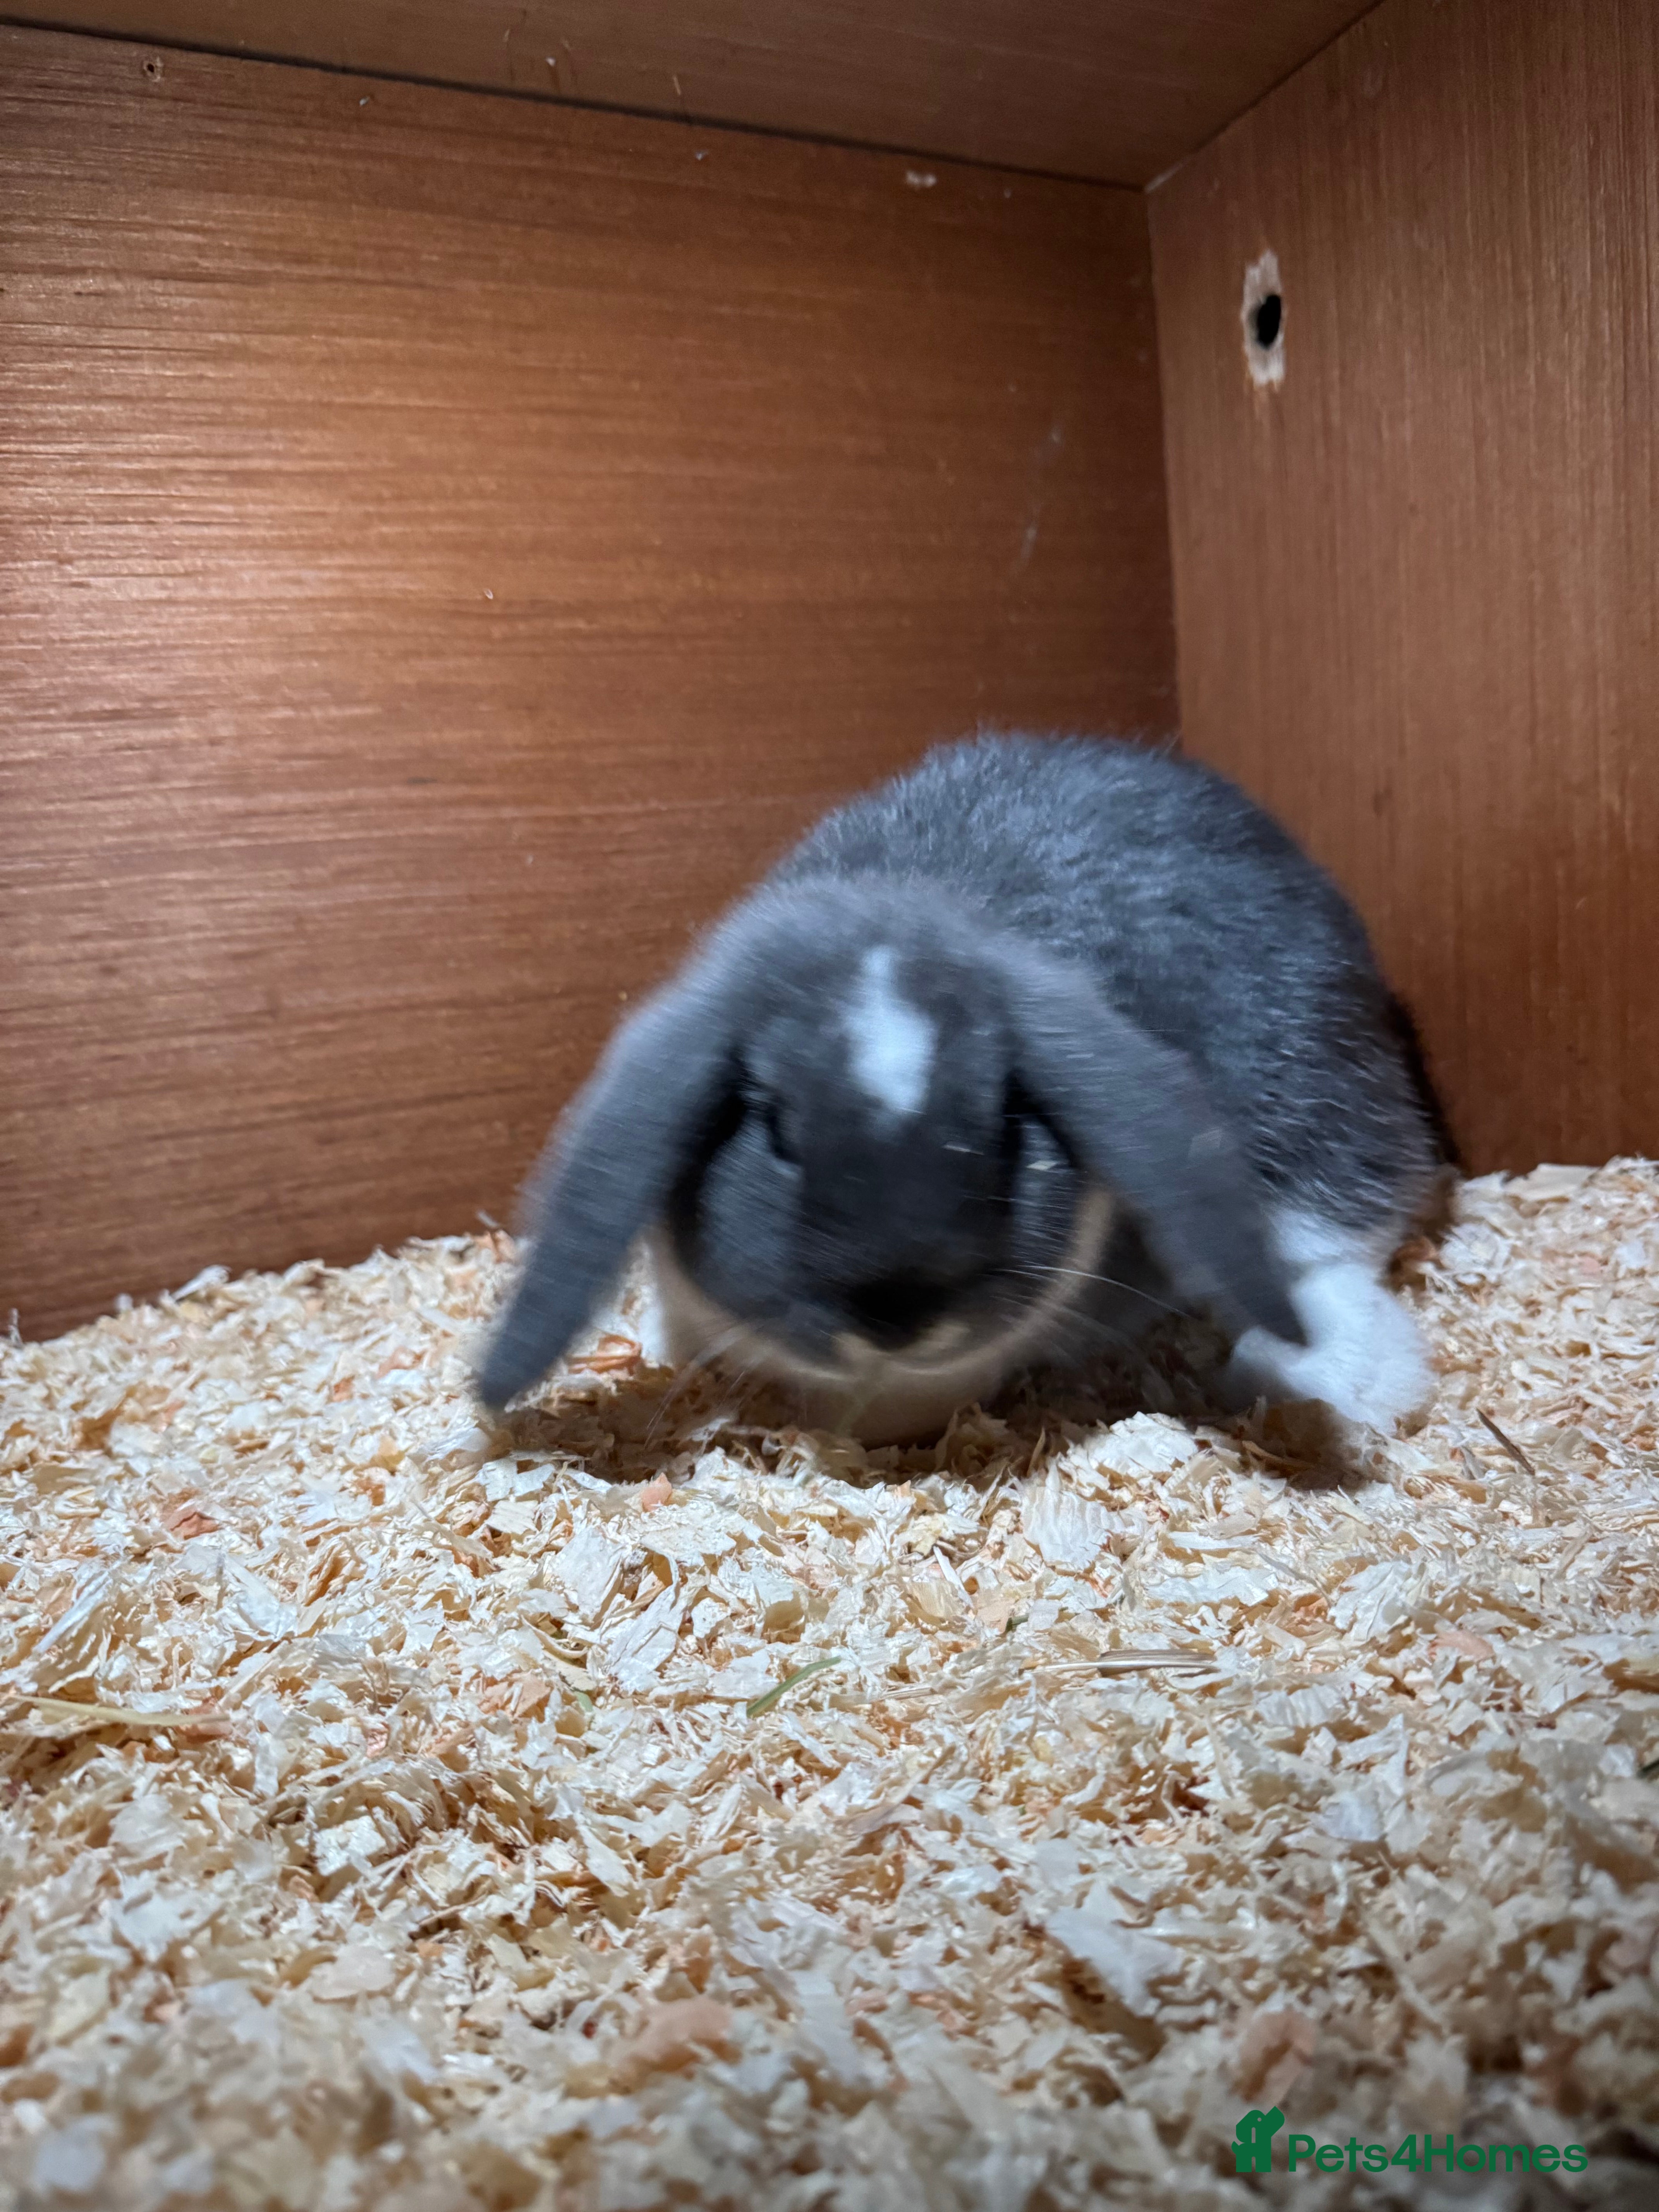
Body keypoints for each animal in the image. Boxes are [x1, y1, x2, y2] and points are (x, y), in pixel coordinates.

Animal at [476, 735, 1449, 1444]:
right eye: (777, 1130)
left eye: (1004, 1120)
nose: (897, 1316)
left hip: (1304, 1086)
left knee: (1333, 1242)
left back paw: (1332, 1378)